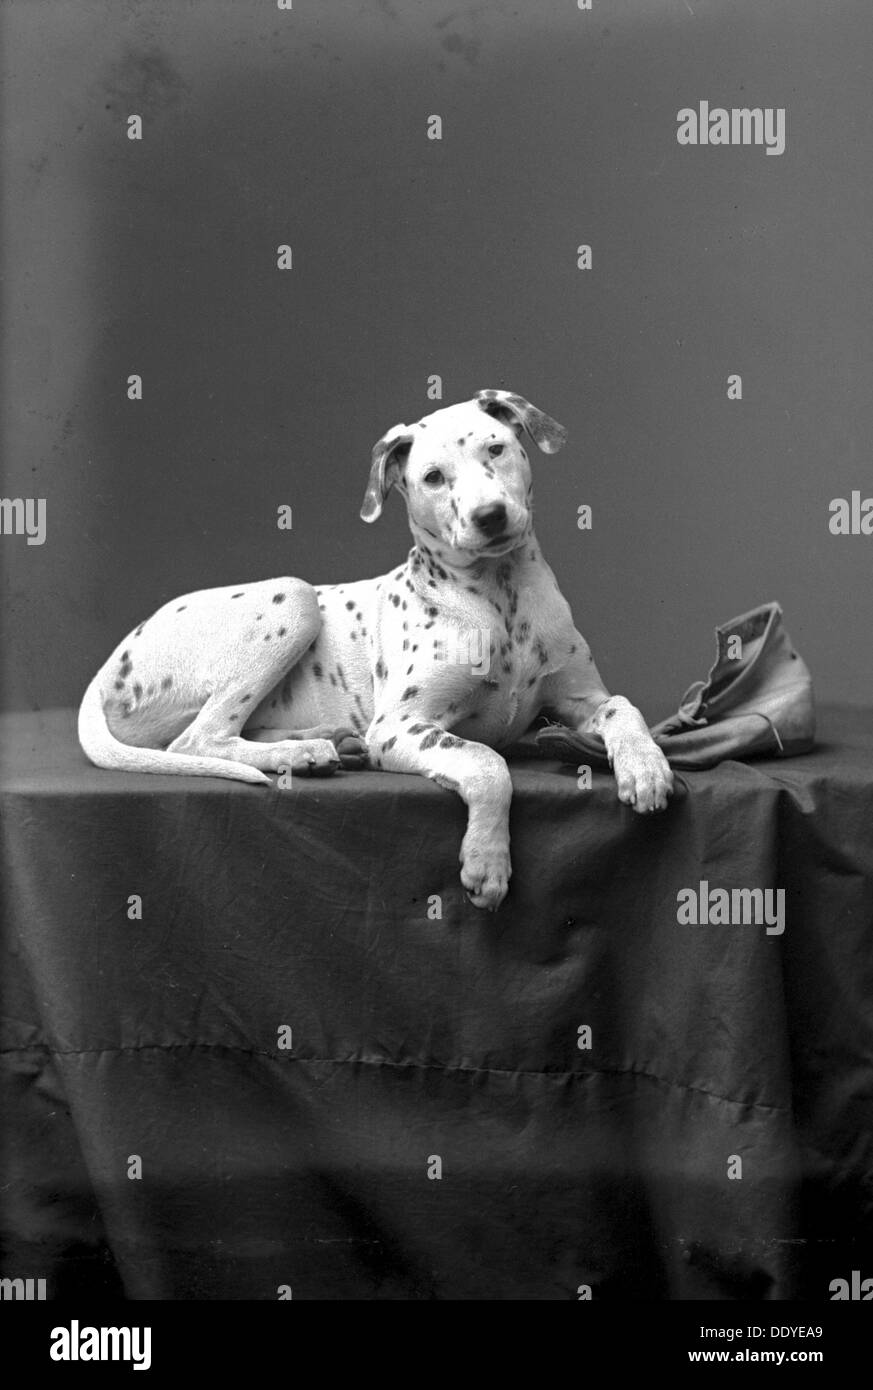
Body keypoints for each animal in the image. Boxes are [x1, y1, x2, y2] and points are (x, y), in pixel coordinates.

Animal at [78, 394, 672, 911]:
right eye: (432, 478)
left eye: (496, 449)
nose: (491, 516)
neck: (500, 596)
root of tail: (107, 670)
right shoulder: (400, 728)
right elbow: (487, 762)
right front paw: (487, 861)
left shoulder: (575, 699)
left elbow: (622, 708)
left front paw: (645, 768)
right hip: (293, 597)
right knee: (199, 738)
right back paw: (300, 754)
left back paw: (327, 743)